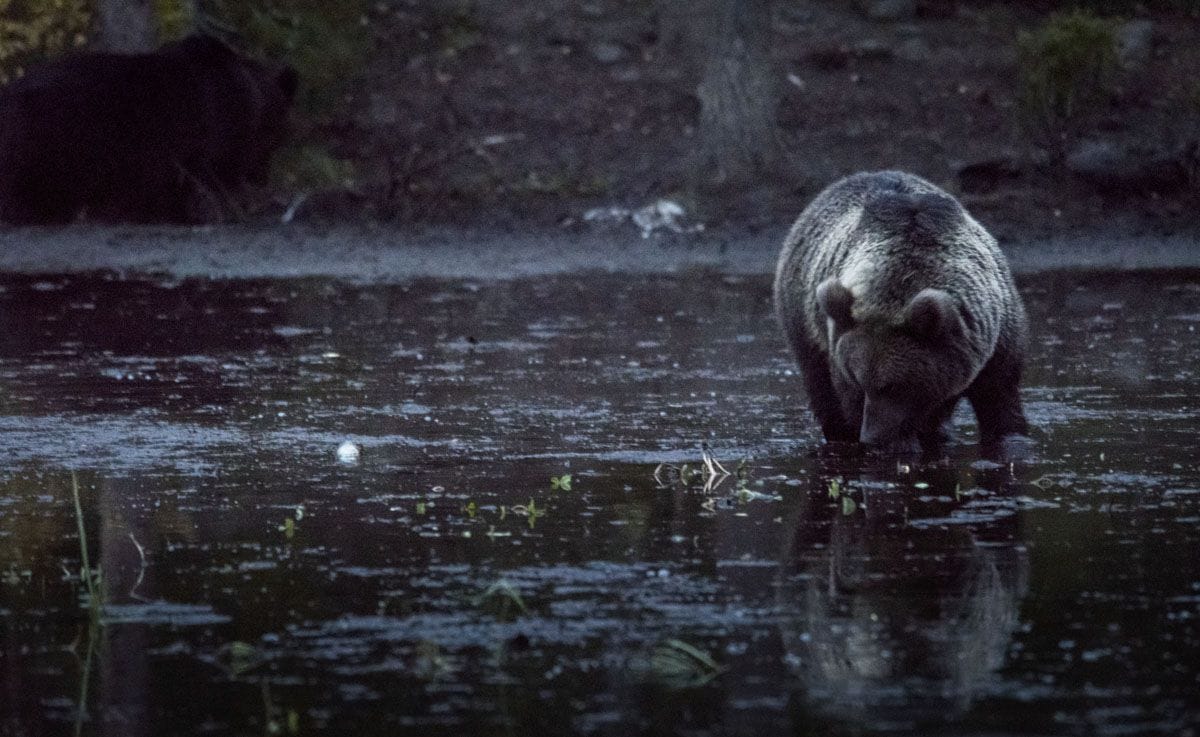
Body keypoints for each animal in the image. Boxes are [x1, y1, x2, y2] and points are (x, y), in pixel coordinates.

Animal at [777, 172, 1032, 456]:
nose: (871, 436)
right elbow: (847, 403)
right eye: (859, 381)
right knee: (821, 387)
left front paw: (1010, 439)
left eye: (893, 386)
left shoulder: (997, 339)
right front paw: (897, 443)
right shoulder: (839, 354)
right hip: (805, 322)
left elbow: (1000, 400)